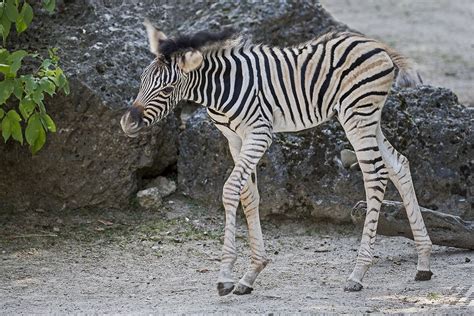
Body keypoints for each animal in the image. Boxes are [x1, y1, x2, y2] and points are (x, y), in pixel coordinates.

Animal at [121, 21, 434, 296]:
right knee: (399, 165)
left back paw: (358, 273)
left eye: (166, 90)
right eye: (141, 80)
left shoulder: (260, 133)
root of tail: (377, 46)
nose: (127, 123)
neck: (221, 89)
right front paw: (250, 275)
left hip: (357, 115)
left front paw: (225, 277)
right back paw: (423, 264)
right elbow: (249, 195)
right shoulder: (235, 140)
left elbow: (231, 190)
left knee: (376, 175)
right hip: (369, 120)